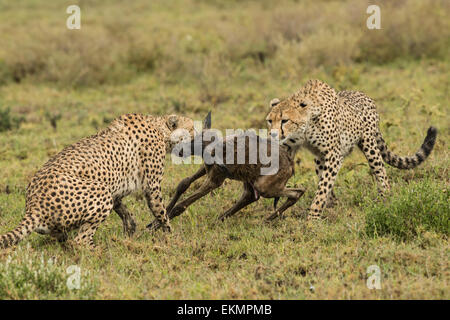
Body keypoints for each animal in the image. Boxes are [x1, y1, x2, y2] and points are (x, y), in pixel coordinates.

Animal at [0, 113, 200, 250]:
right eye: (191, 128)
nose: (200, 137)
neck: (160, 129)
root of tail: (33, 205)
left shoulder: (115, 189)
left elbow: (124, 211)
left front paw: (130, 230)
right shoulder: (151, 186)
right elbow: (161, 211)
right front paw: (172, 237)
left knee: (66, 239)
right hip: (99, 192)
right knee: (80, 241)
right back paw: (100, 250)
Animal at [266, 79, 438, 220]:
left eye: (285, 120)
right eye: (269, 121)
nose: (272, 134)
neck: (305, 127)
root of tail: (363, 94)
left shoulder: (333, 154)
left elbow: (323, 187)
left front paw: (313, 216)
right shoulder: (293, 148)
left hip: (369, 145)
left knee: (381, 171)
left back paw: (385, 198)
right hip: (319, 157)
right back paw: (332, 203)